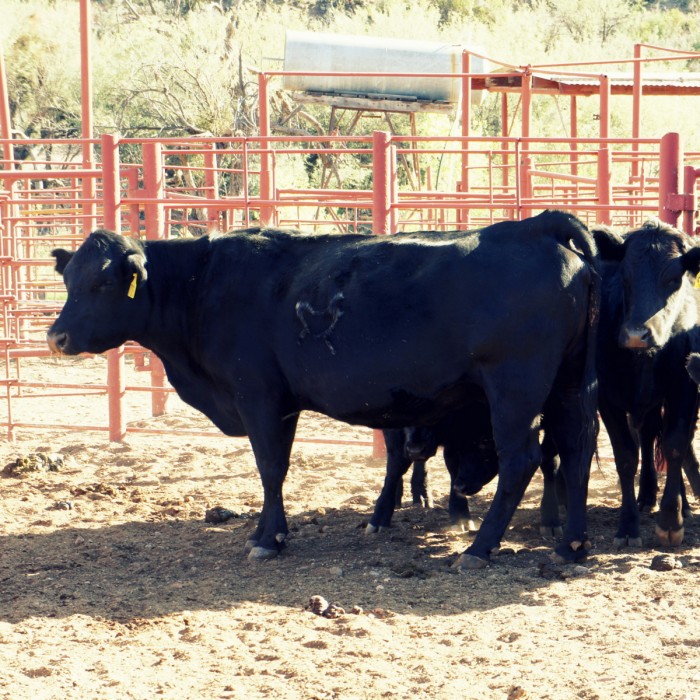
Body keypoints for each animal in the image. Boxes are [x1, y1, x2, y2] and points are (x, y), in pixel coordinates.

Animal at [46, 212, 600, 568]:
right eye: (69, 280)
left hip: (515, 388)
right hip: (569, 384)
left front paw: (269, 538)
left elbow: (271, 468)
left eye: (103, 284)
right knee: (575, 449)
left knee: (522, 459)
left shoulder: (259, 398)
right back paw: (571, 544)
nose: (57, 336)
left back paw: (480, 549)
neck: (203, 284)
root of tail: (536, 226)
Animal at [592, 221, 700, 548]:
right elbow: (627, 456)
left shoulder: (683, 388)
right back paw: (646, 496)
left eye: (674, 278)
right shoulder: (608, 398)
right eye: (625, 277)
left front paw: (671, 521)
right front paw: (628, 526)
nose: (636, 335)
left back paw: (682, 505)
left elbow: (675, 445)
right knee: (647, 435)